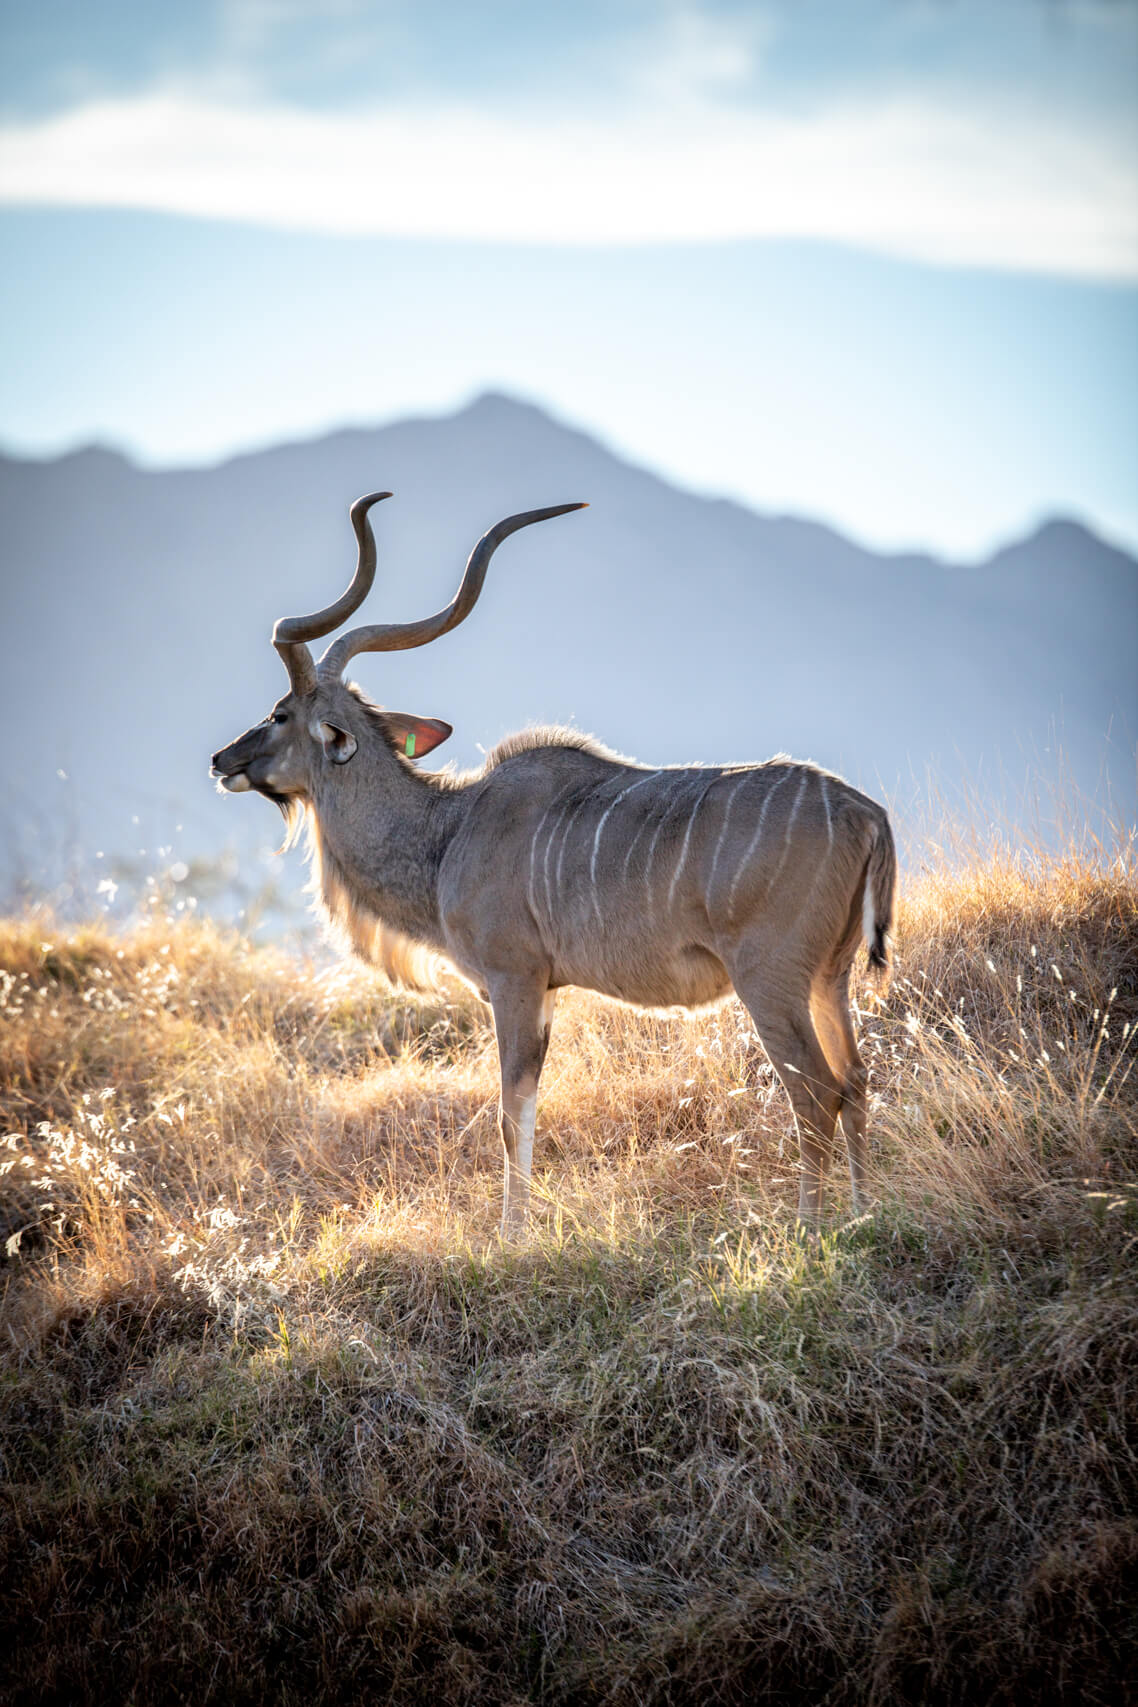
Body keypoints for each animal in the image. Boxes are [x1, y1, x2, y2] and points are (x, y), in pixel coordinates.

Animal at [209, 495, 894, 1229]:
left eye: (280, 714)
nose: (222, 760)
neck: (449, 831)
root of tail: (863, 811)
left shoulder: (514, 978)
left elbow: (511, 1114)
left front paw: (512, 1235)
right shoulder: (544, 990)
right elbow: (529, 1106)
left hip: (771, 979)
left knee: (816, 1091)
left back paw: (811, 1226)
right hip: (830, 977)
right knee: (856, 1079)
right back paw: (863, 1213)